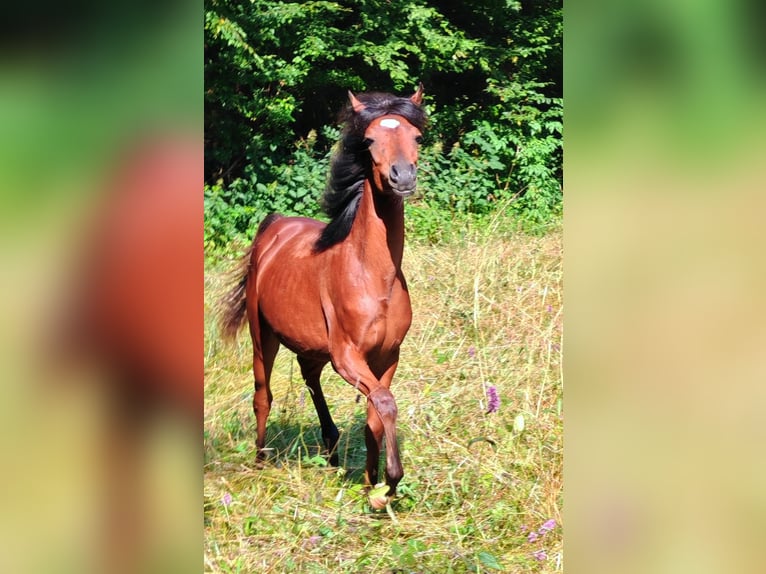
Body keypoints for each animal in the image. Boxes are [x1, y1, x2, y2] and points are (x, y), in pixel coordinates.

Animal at [218, 85, 426, 509]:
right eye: (369, 140)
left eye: (416, 137)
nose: (402, 177)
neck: (372, 276)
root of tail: (275, 225)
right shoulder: (348, 357)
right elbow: (385, 403)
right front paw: (389, 484)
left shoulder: (388, 356)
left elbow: (374, 417)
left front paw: (371, 486)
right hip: (263, 337)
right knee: (262, 396)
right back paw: (261, 461)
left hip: (311, 345)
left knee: (310, 378)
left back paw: (330, 447)